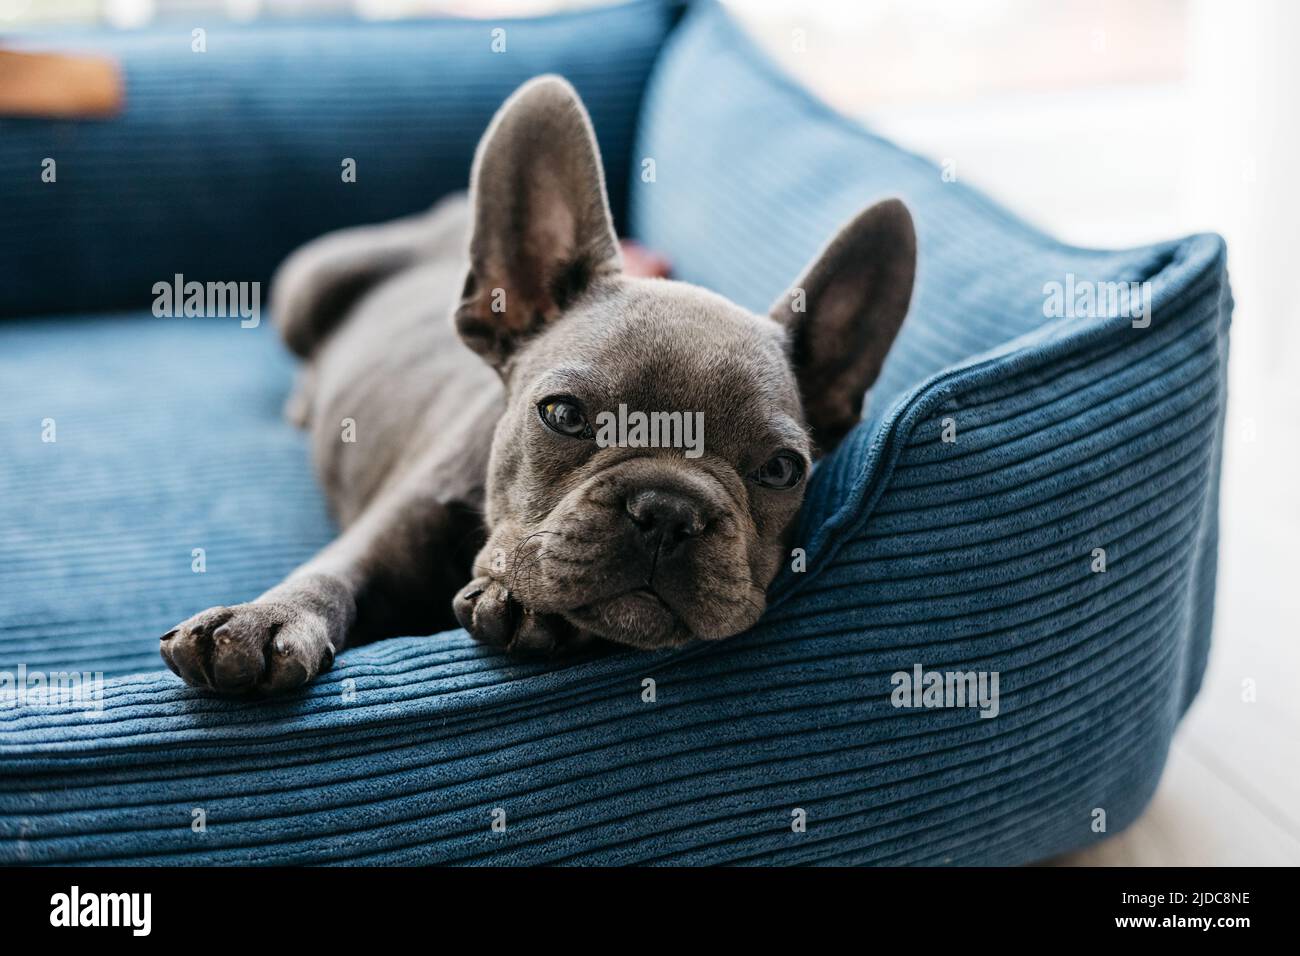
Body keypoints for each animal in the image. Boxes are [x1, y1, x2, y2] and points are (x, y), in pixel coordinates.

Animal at [159, 74, 915, 697]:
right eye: (563, 415)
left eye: (783, 470)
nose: (669, 511)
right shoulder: (383, 533)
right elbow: (328, 574)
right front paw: (262, 620)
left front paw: (524, 608)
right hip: (307, 284)